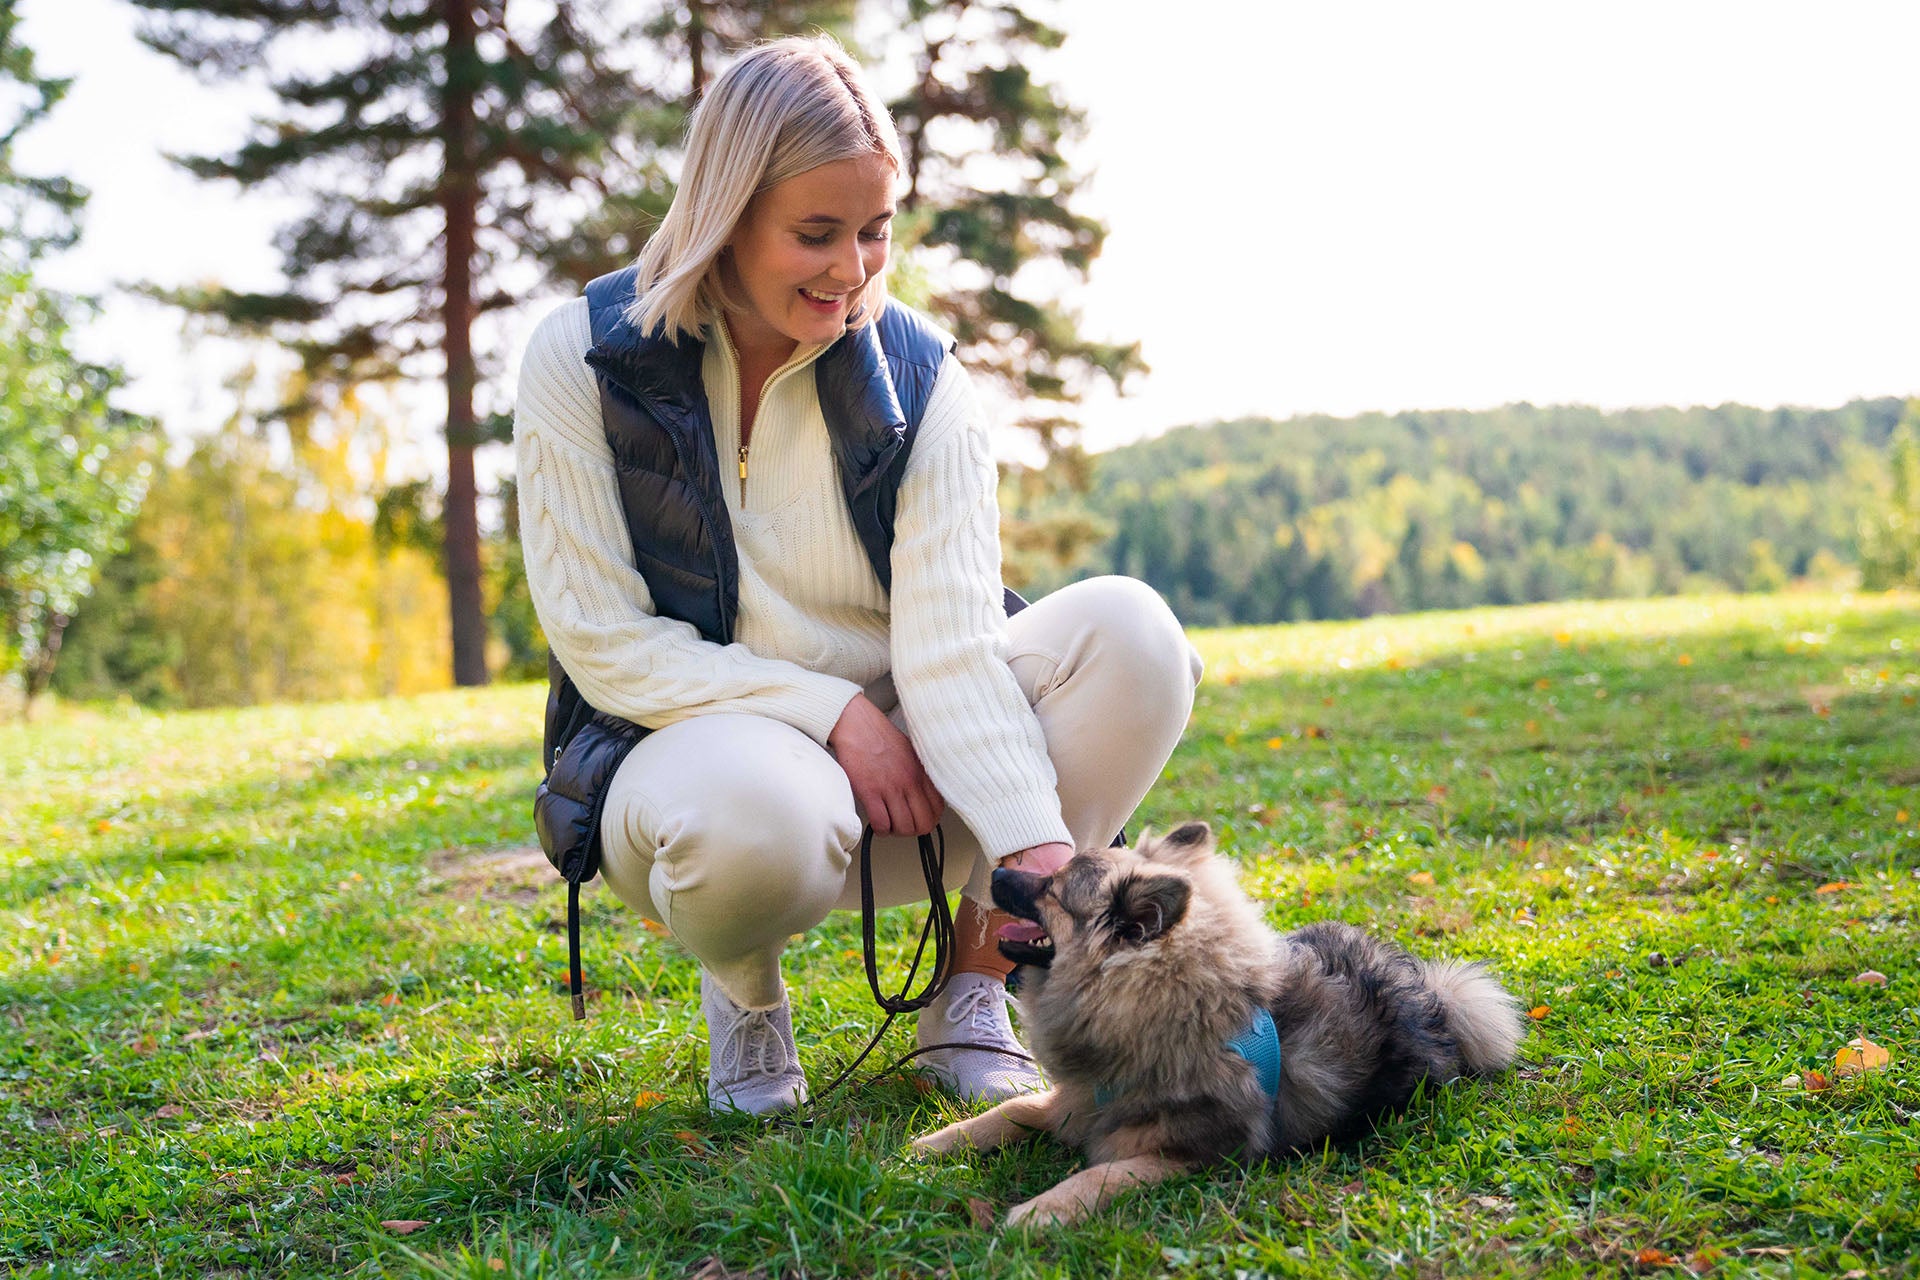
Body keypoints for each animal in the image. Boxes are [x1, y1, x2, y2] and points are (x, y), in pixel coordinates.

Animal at [906, 825, 1520, 1228]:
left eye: (1050, 888)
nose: (995, 870)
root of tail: (1433, 995)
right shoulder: (1075, 1100)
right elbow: (1010, 1110)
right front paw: (931, 1145)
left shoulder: (1188, 1155)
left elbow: (1098, 1177)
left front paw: (1038, 1211)